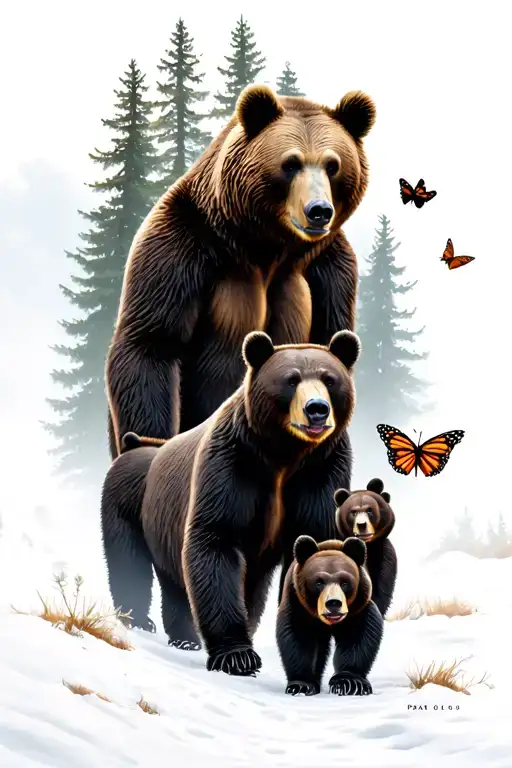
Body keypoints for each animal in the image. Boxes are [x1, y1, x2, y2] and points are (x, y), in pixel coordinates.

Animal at [100, 328, 361, 677]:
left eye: (329, 379)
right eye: (291, 380)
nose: (317, 408)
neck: (284, 456)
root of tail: (134, 446)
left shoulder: (321, 473)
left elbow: (315, 545)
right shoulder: (232, 464)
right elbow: (216, 538)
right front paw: (236, 655)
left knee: (180, 582)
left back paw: (185, 637)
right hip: (128, 507)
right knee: (129, 562)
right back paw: (139, 620)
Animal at [105, 83, 376, 459]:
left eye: (333, 164)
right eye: (290, 163)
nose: (319, 210)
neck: (266, 245)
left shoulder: (329, 269)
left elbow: (331, 337)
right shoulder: (181, 249)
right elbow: (153, 341)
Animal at [277, 535, 383, 696]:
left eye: (345, 583)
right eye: (319, 582)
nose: (333, 603)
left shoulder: (357, 609)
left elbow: (356, 637)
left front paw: (350, 683)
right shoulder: (299, 606)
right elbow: (299, 637)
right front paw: (301, 685)